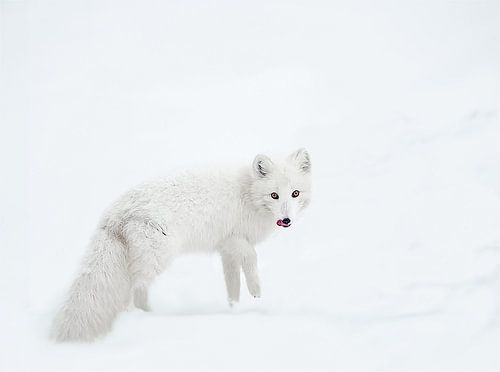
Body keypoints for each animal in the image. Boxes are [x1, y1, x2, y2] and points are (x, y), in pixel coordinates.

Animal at [53, 147, 312, 340]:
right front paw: (256, 290)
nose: (286, 220)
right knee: (133, 292)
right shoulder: (236, 239)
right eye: (274, 195)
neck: (247, 193)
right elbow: (252, 257)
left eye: (295, 193)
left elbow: (232, 285)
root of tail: (116, 211)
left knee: (136, 291)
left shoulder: (227, 247)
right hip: (157, 258)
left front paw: (234, 310)